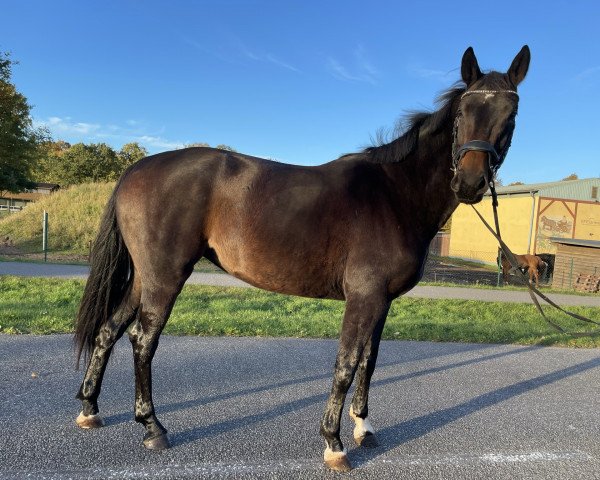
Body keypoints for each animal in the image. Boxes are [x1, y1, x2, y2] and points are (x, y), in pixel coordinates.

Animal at [74, 46, 528, 472]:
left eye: (511, 115)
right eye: (463, 112)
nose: (469, 182)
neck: (394, 194)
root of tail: (136, 169)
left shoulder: (382, 302)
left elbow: (370, 361)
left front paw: (364, 426)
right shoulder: (363, 297)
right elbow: (346, 364)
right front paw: (334, 443)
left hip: (144, 276)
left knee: (109, 329)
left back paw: (90, 408)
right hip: (166, 276)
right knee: (142, 339)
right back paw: (152, 427)